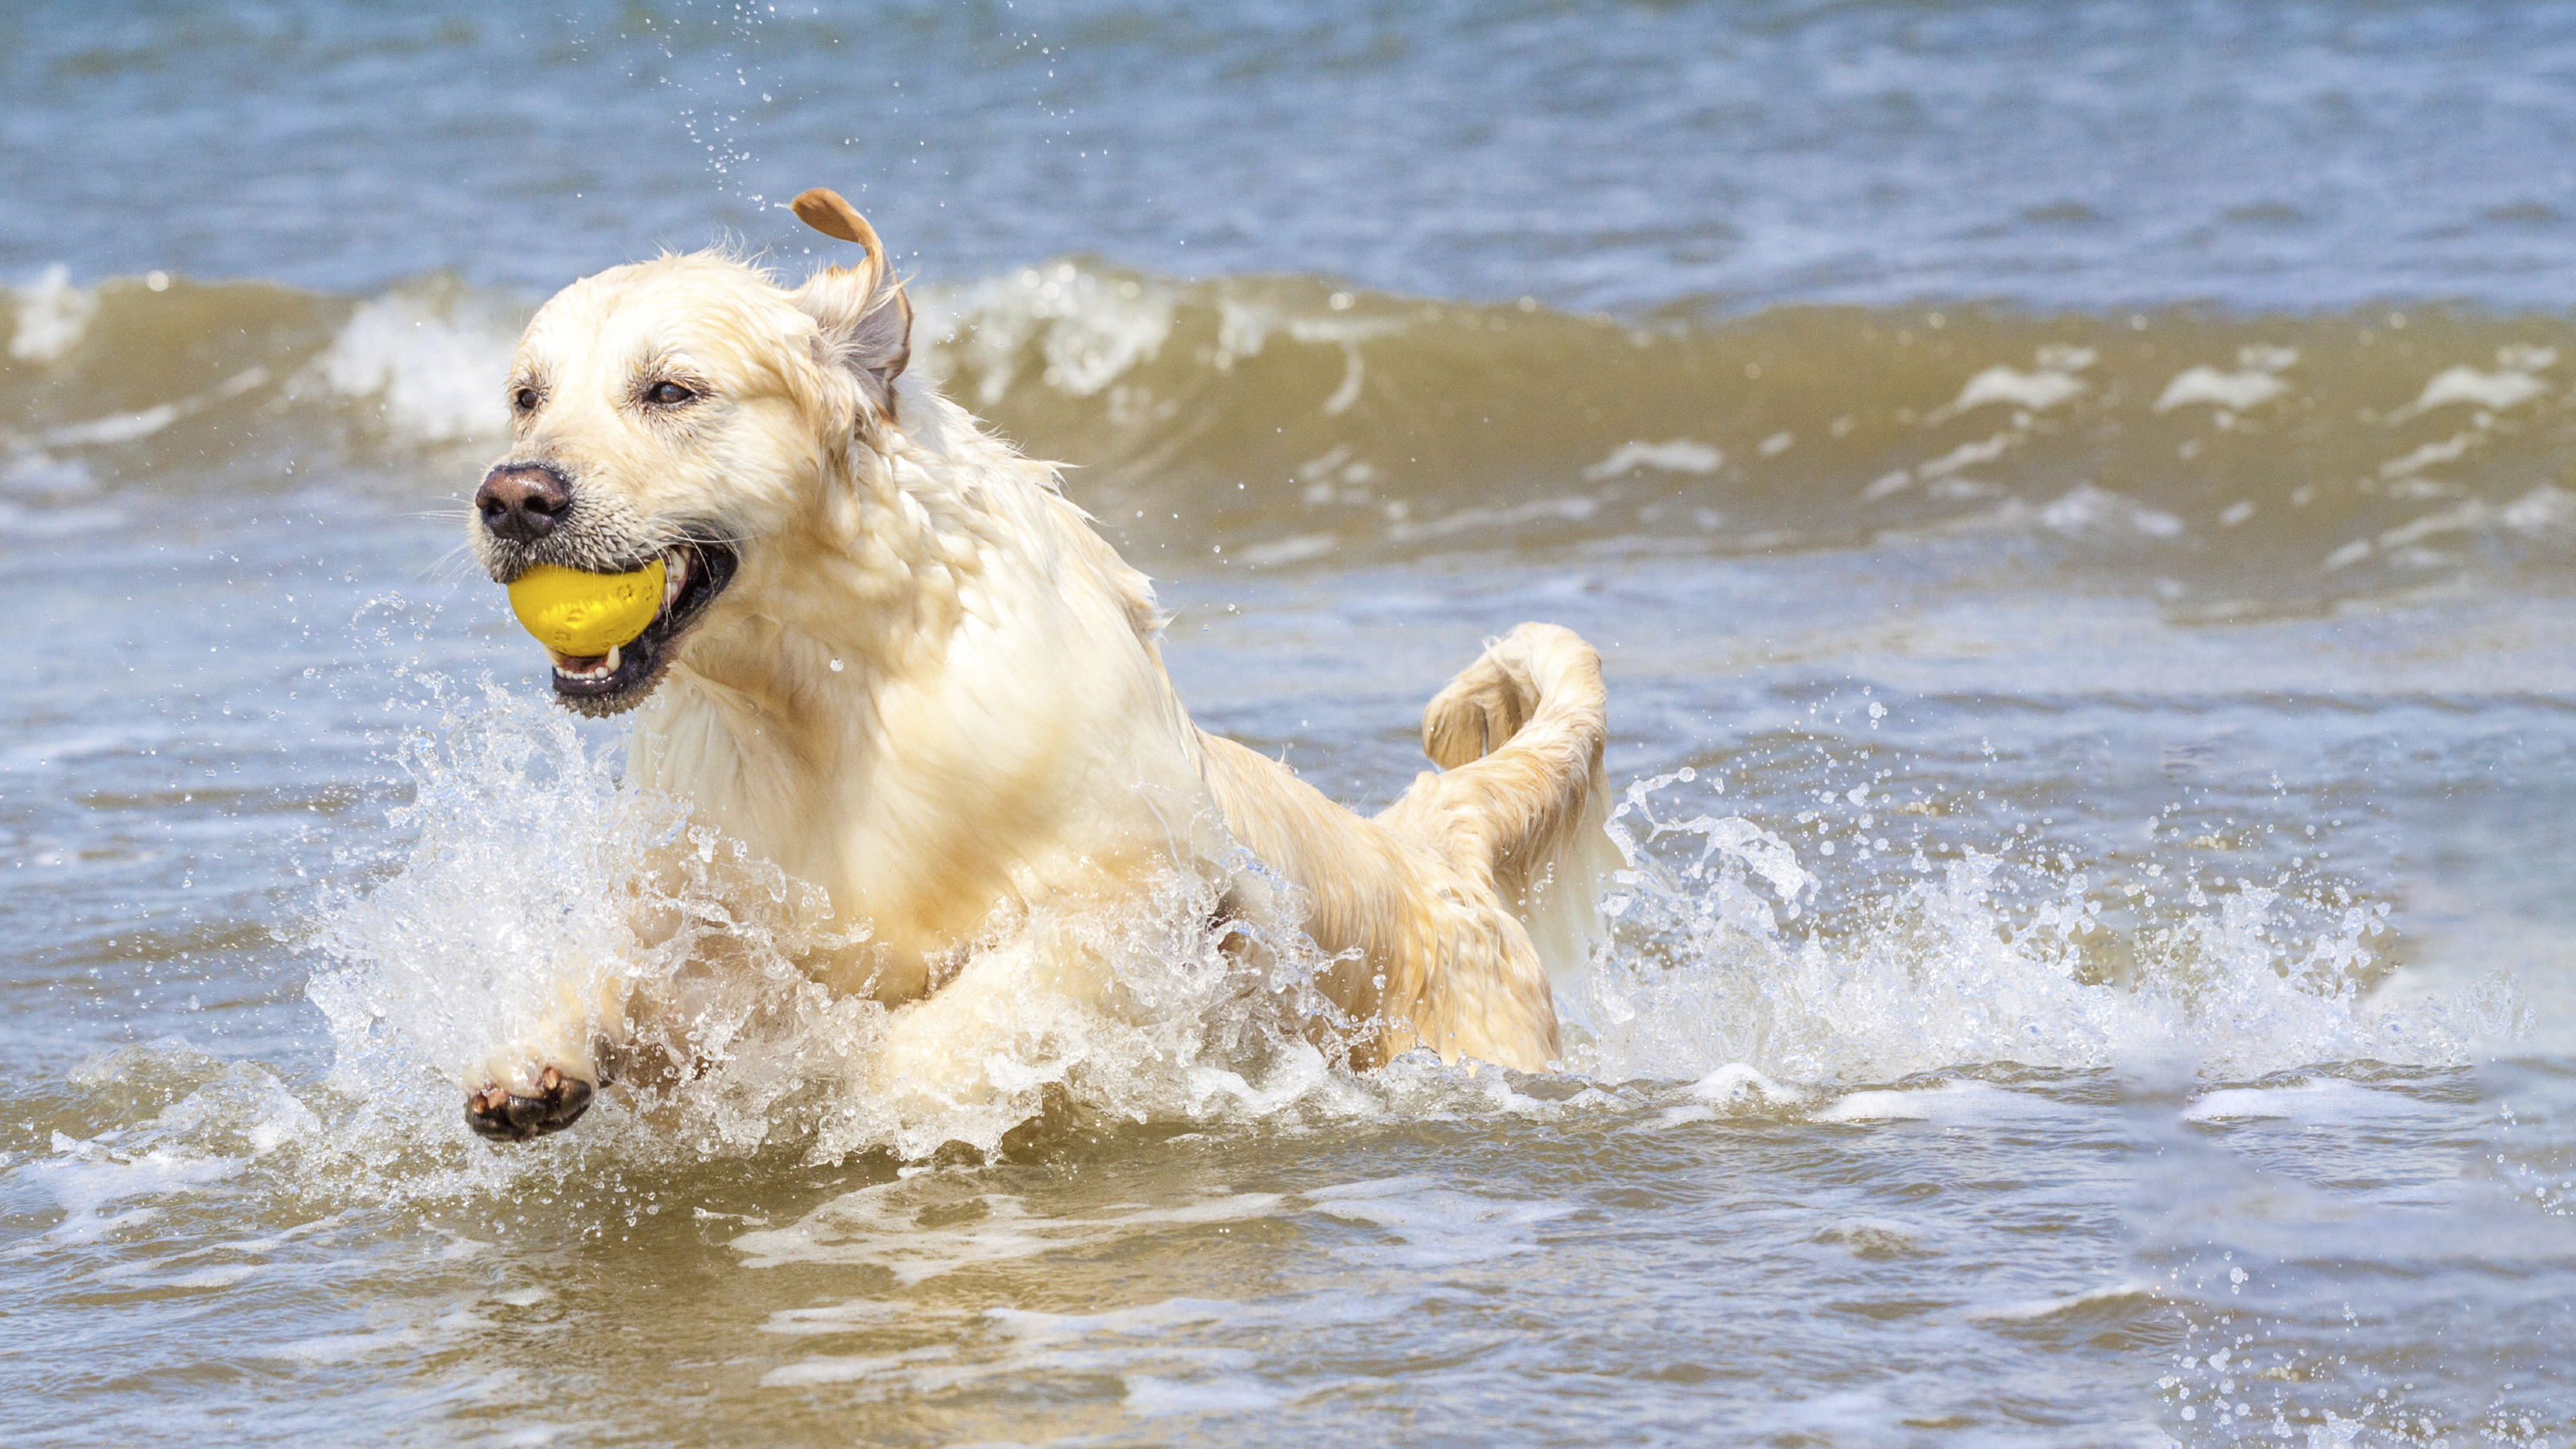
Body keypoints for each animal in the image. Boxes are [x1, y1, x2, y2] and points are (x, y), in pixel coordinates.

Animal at [464, 189, 1607, 1139]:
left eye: (670, 390)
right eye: (525, 396)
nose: (513, 498)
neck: (830, 696)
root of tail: (1420, 847)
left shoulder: (1133, 896)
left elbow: (959, 1019)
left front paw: (862, 1096)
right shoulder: (705, 903)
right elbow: (616, 956)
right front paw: (530, 1055)